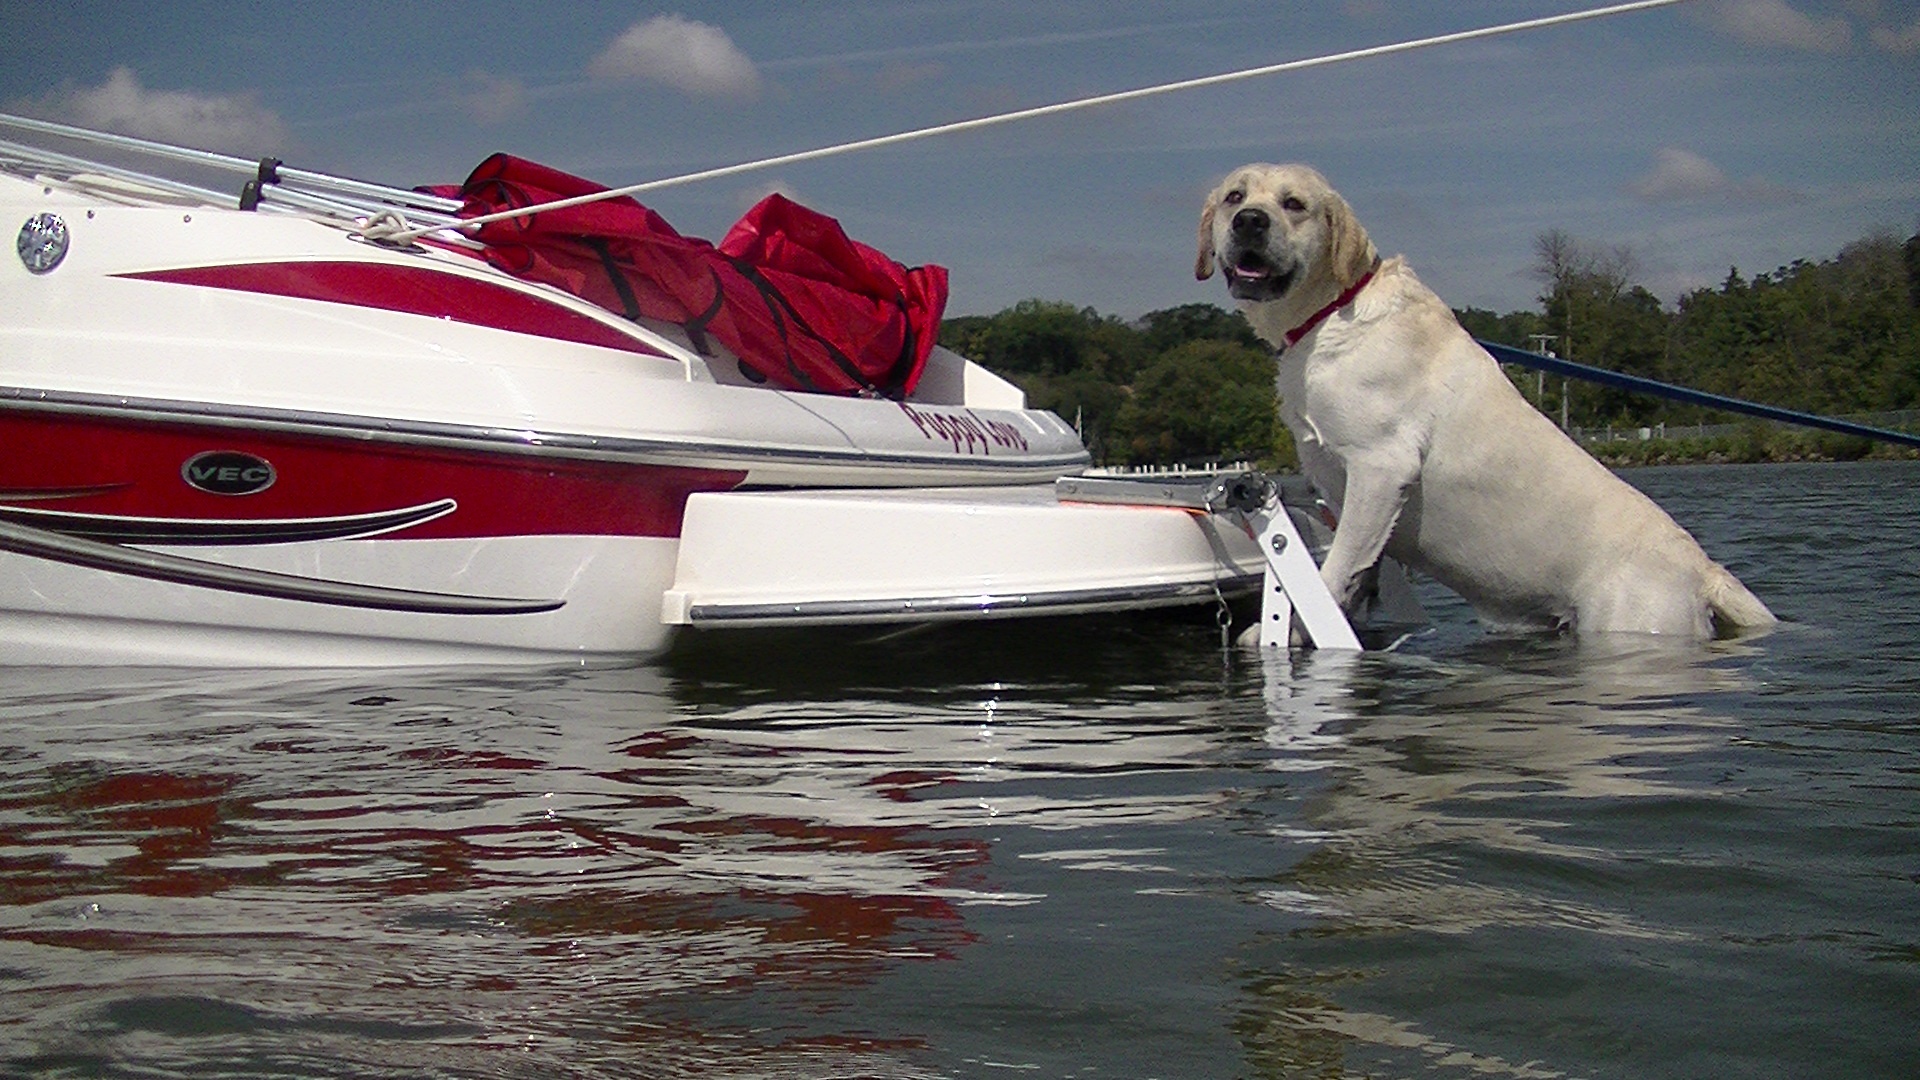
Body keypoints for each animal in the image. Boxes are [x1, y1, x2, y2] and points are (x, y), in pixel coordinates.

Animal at [1198, 163, 1766, 634]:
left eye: (1294, 204)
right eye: (1234, 196)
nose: (1250, 221)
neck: (1332, 310)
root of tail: (1704, 570)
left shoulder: (1381, 465)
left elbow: (1334, 570)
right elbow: (1360, 572)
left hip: (1632, 619)